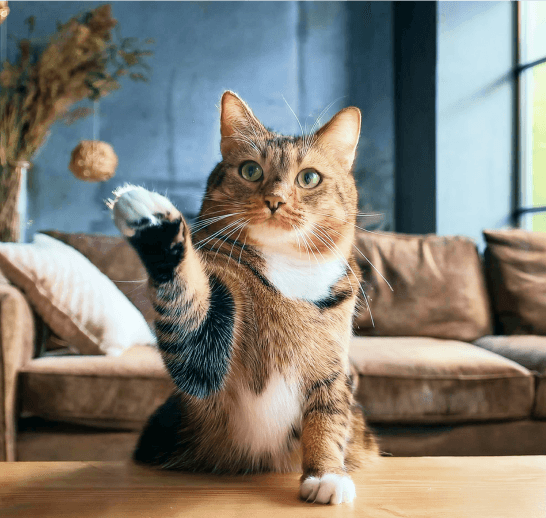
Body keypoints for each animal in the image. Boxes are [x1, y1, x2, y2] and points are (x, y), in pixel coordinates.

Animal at [108, 91, 376, 506]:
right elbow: (191, 314)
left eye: (309, 177)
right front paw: (150, 220)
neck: (287, 271)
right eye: (250, 170)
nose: (275, 201)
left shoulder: (333, 366)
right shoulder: (205, 359)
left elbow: (329, 416)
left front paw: (327, 475)